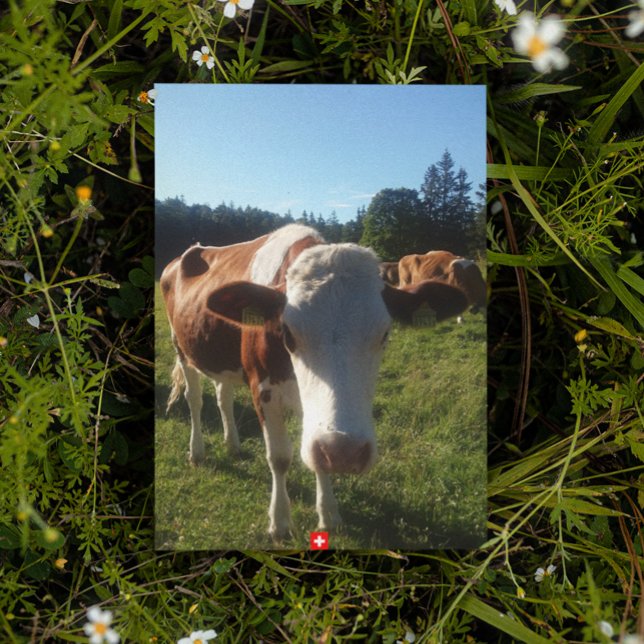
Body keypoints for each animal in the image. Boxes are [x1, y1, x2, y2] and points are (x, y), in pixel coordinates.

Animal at [160, 224, 468, 541]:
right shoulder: (262, 390)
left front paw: (329, 513)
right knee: (195, 400)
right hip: (180, 348)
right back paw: (197, 451)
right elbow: (280, 457)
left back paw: (232, 444)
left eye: (385, 334)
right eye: (287, 333)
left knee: (223, 396)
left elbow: (320, 457)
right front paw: (280, 521)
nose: (346, 452)